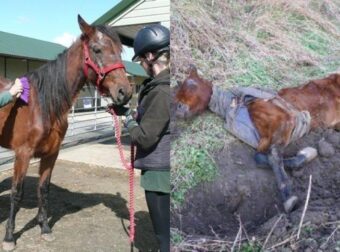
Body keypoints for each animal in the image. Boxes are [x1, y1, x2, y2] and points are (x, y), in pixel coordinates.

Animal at [0, 15, 132, 250]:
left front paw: (45, 228)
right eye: (97, 49)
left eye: (118, 50)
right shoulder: (23, 154)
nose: (124, 92)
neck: (43, 104)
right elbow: (17, 193)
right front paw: (8, 238)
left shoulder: (51, 153)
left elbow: (44, 189)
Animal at [175, 65, 340, 215]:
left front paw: (288, 198)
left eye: (191, 84)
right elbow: (261, 157)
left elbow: (273, 157)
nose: (178, 108)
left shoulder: (286, 121)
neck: (236, 104)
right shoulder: (263, 140)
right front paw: (307, 153)